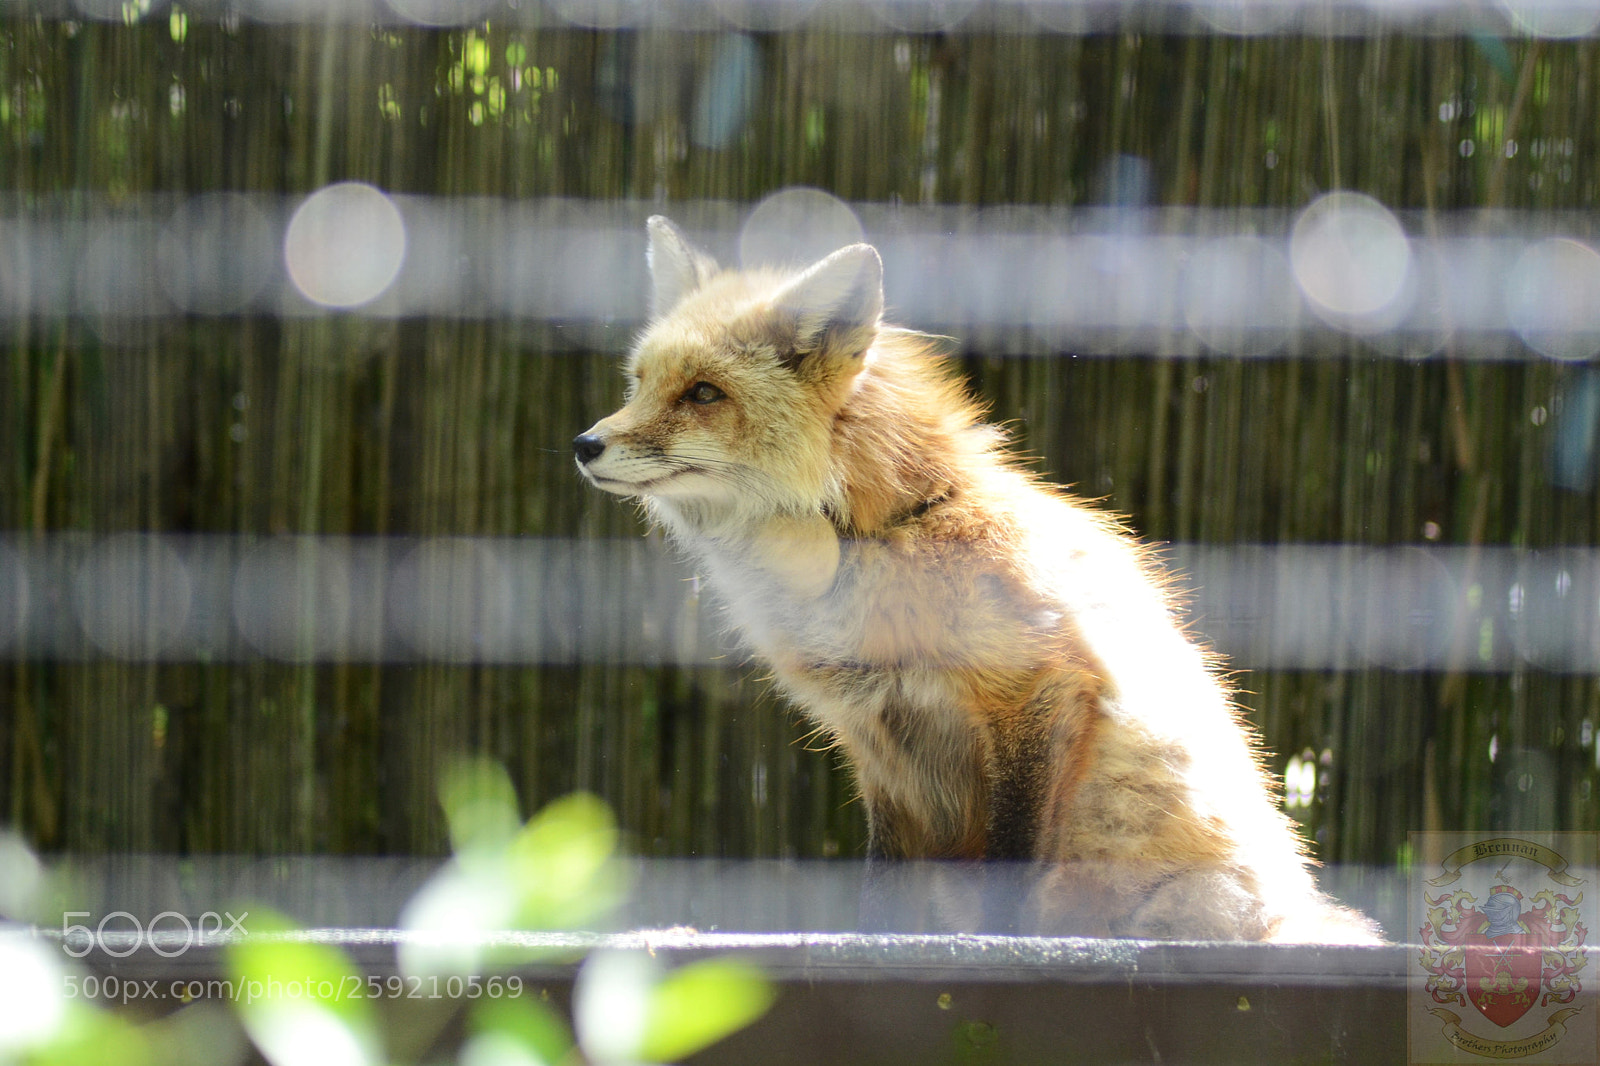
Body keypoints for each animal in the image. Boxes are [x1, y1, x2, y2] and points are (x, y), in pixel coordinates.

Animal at [573, 215, 1381, 942]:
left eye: (704, 394)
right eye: (639, 384)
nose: (584, 444)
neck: (885, 529)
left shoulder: (1038, 687)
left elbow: (1011, 875)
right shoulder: (880, 745)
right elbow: (881, 899)